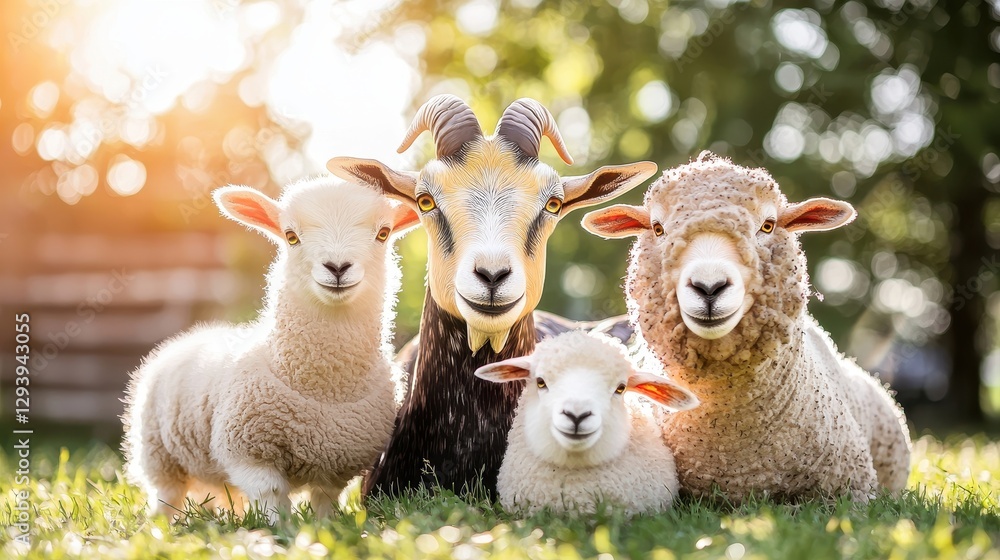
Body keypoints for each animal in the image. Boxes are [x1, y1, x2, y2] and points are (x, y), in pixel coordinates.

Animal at [121, 177, 419, 522]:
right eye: (291, 236)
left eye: (383, 233)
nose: (337, 267)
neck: (325, 391)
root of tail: (189, 336)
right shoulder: (249, 452)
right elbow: (272, 495)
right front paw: (279, 528)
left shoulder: (338, 462)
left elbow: (326, 501)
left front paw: (326, 525)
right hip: (158, 452)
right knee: (167, 496)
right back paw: (161, 525)